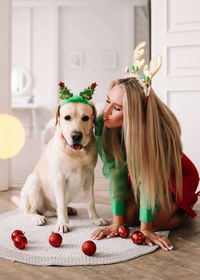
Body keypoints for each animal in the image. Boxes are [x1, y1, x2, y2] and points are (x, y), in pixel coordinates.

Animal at [14, 83, 108, 232]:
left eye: (86, 118)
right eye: (67, 117)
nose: (76, 136)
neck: (76, 154)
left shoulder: (89, 177)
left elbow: (91, 202)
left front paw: (96, 219)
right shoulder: (59, 178)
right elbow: (61, 203)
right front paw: (63, 223)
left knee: (54, 210)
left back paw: (68, 209)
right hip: (34, 182)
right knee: (30, 210)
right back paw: (38, 217)